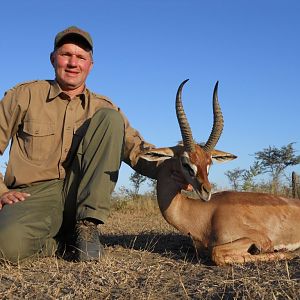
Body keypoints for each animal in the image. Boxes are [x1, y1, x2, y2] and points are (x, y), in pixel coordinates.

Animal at [141, 79, 300, 264]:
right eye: (185, 162)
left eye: (209, 163)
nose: (206, 191)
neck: (206, 217)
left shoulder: (262, 240)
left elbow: (216, 253)